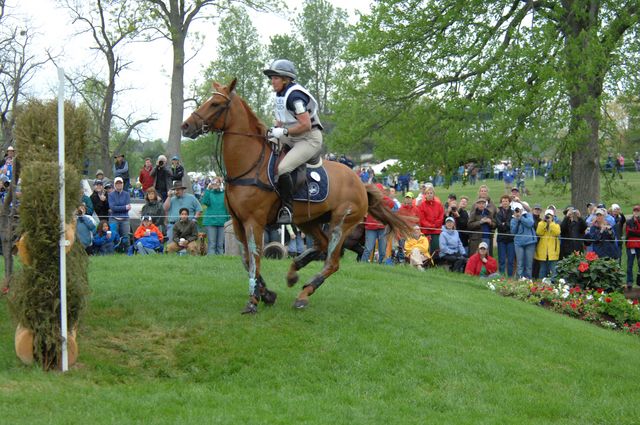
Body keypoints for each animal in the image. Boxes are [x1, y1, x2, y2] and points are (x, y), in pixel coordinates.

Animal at [182, 79, 410, 312]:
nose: (186, 126)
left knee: (332, 261)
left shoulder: (254, 221)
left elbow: (255, 260)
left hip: (341, 223)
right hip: (308, 221)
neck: (249, 165)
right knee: (322, 246)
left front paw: (253, 302)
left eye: (216, 104)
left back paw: (304, 294)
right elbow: (246, 261)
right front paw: (267, 294)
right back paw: (294, 272)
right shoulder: (237, 222)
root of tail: (360, 183)